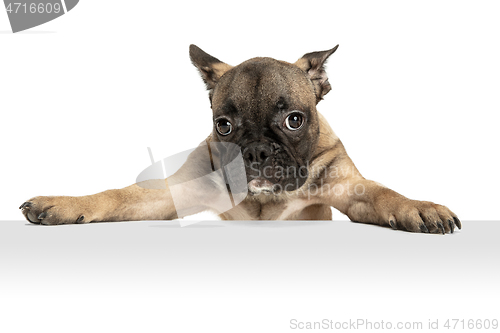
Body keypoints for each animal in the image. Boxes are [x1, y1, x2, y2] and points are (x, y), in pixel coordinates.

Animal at [19, 44, 460, 232]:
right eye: (223, 126)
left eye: (295, 120)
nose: (257, 151)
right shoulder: (172, 193)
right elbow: (118, 196)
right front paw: (63, 204)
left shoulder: (350, 190)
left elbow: (386, 194)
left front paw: (421, 208)